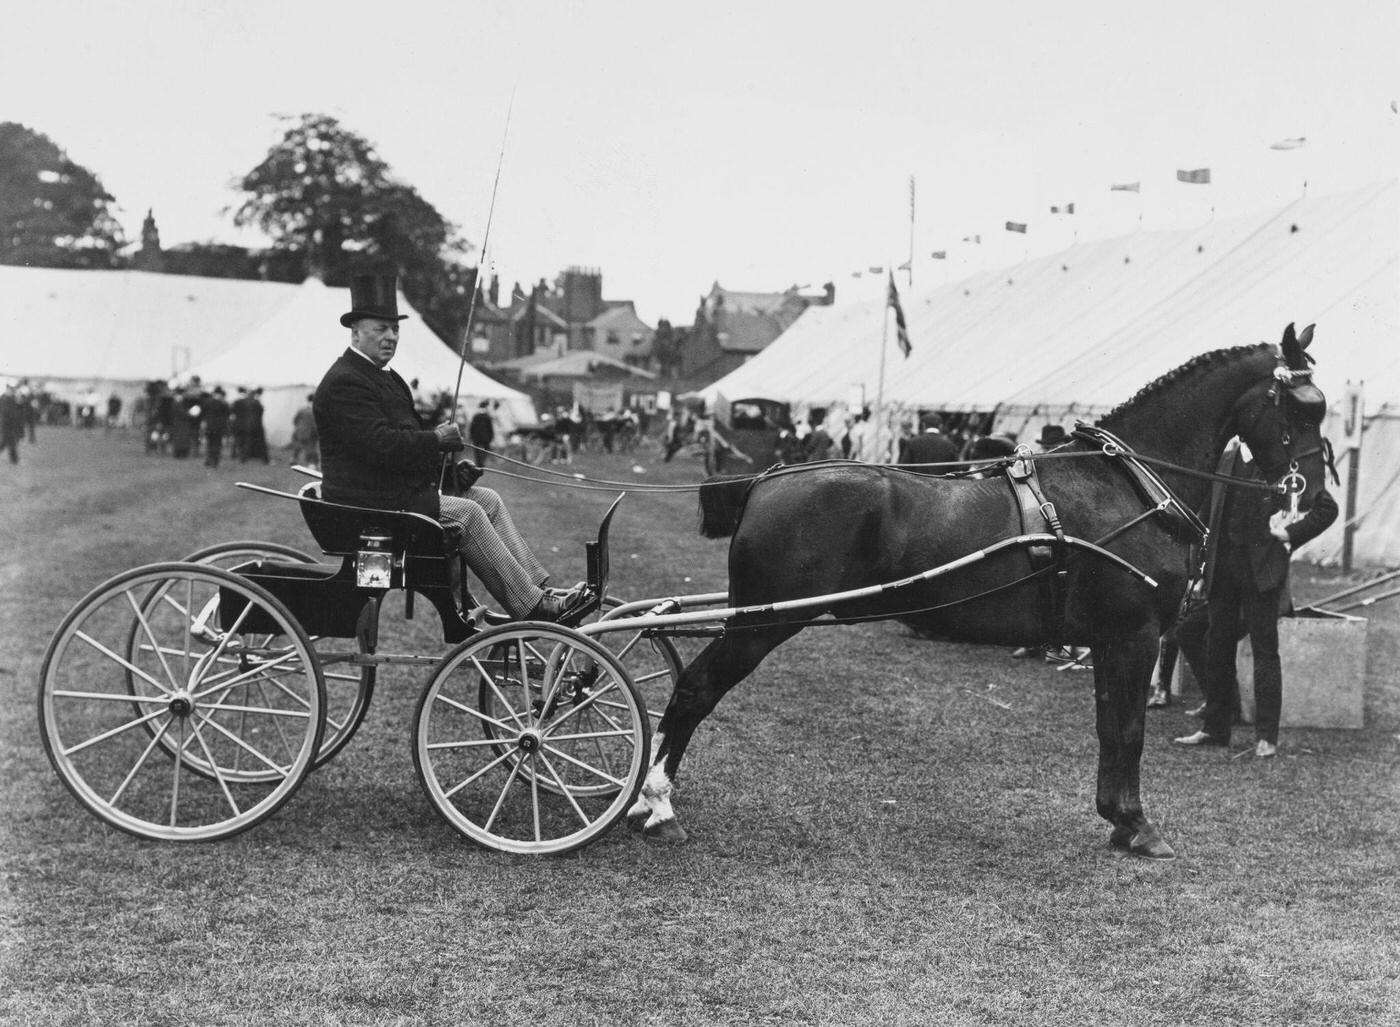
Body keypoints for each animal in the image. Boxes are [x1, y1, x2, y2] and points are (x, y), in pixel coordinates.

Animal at [630, 321, 1327, 861]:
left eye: (1320, 406)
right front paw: (1139, 824)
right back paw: (658, 802)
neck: (1125, 486)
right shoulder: (1137, 635)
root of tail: (767, 478)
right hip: (761, 623)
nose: (1316, 500)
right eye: (1302, 406)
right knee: (695, 689)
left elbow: (1110, 728)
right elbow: (1129, 730)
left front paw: (1116, 818)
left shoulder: (1110, 640)